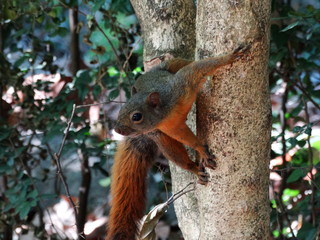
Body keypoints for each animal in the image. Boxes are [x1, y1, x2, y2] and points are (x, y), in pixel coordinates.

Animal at [106, 45, 249, 240]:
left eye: (136, 116)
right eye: (121, 110)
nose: (118, 130)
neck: (166, 112)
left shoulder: (180, 85)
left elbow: (198, 68)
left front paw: (229, 58)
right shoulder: (168, 127)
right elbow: (183, 138)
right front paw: (200, 150)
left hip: (170, 65)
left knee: (183, 63)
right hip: (157, 135)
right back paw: (194, 168)